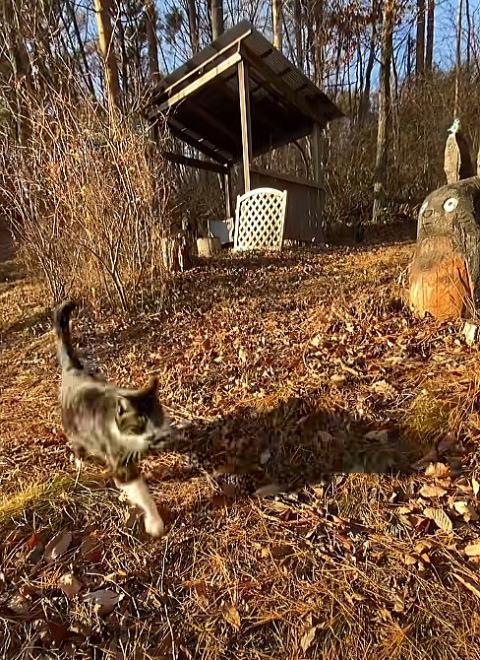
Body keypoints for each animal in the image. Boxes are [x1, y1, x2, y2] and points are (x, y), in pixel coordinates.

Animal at [52, 301, 176, 537]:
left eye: (157, 417)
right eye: (139, 422)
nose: (154, 436)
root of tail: (72, 369)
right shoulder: (121, 464)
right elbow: (141, 493)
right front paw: (155, 524)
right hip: (74, 430)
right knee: (78, 449)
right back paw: (80, 465)